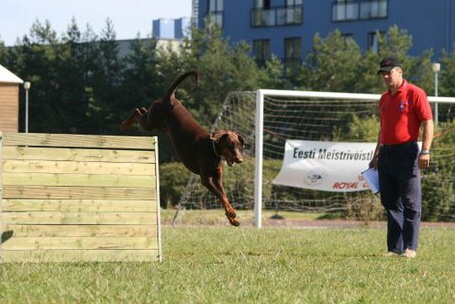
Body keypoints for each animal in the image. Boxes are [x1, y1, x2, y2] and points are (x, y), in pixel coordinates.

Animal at [119, 69, 244, 226]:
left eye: (239, 145)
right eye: (230, 144)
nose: (240, 159)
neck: (212, 150)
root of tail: (169, 98)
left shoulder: (217, 178)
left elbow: (224, 195)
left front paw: (232, 218)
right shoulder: (206, 179)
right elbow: (221, 195)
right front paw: (232, 213)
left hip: (159, 124)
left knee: (142, 109)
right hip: (151, 122)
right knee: (137, 112)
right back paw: (125, 123)